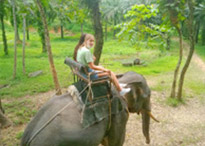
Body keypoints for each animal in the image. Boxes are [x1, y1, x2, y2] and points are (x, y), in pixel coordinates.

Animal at [20, 71, 158, 146]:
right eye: (148, 95)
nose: (147, 142)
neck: (120, 82)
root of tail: (27, 139)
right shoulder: (119, 115)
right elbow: (116, 142)